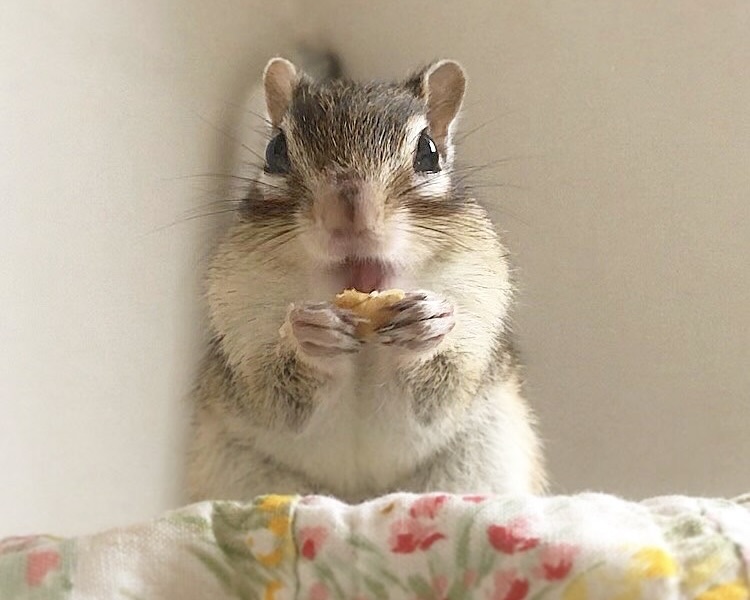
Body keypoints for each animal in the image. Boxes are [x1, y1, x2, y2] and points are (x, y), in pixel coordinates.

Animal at [186, 55, 547, 503]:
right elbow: (278, 398)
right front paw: (308, 331)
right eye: (275, 151)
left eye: (428, 153)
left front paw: (428, 323)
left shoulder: (478, 305)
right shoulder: (242, 326)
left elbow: (441, 393)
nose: (348, 212)